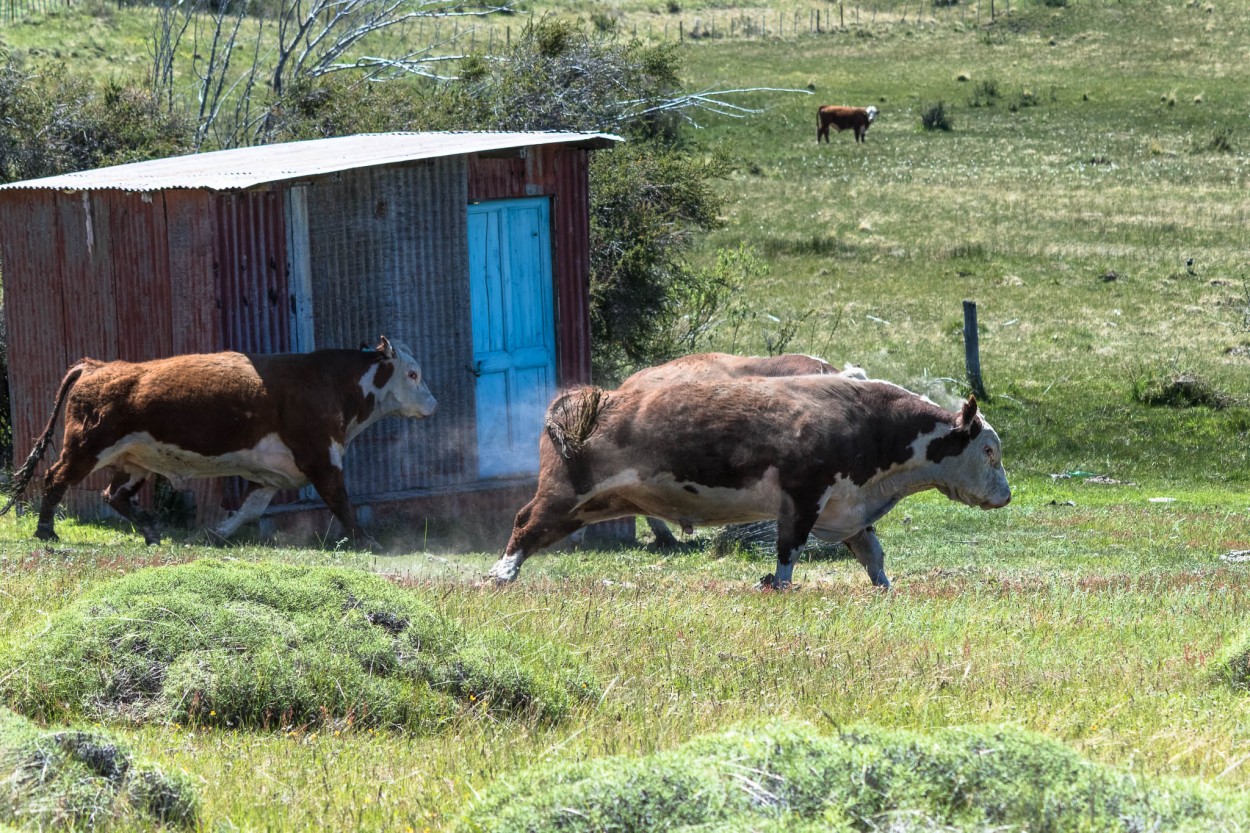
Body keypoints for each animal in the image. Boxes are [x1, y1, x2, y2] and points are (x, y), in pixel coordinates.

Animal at [0, 335, 437, 547]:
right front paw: (365, 539)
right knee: (56, 478)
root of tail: (98, 366)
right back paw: (46, 531)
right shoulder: (321, 457)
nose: (433, 404)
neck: (329, 381)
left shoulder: (273, 475)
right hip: (86, 447)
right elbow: (341, 500)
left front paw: (214, 534)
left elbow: (249, 510)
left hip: (134, 460)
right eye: (413, 373)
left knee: (115, 494)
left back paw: (151, 532)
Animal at [482, 372, 1010, 587]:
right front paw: (776, 585)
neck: (868, 419)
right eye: (988, 450)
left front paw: (886, 588)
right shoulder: (801, 499)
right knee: (525, 523)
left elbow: (872, 555)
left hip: (588, 505)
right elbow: (788, 551)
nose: (1006, 495)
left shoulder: (849, 510)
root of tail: (589, 400)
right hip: (562, 493)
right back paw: (501, 575)